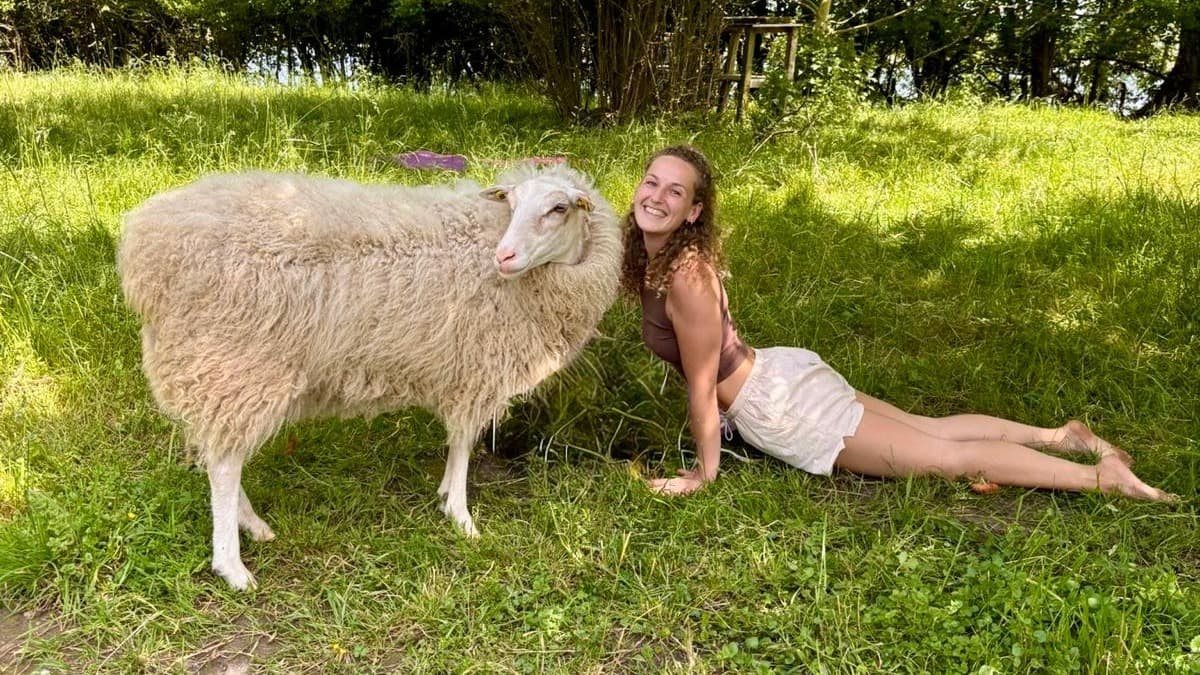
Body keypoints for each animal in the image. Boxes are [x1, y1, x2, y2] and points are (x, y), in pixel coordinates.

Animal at [116, 164, 621, 590]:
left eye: (558, 209)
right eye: (512, 203)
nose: (504, 256)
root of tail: (144, 245)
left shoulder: (462, 368)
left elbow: (457, 444)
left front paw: (446, 497)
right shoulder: (476, 369)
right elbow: (463, 444)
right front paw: (461, 516)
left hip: (221, 374)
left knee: (221, 453)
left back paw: (251, 525)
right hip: (236, 365)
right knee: (224, 466)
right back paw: (232, 565)